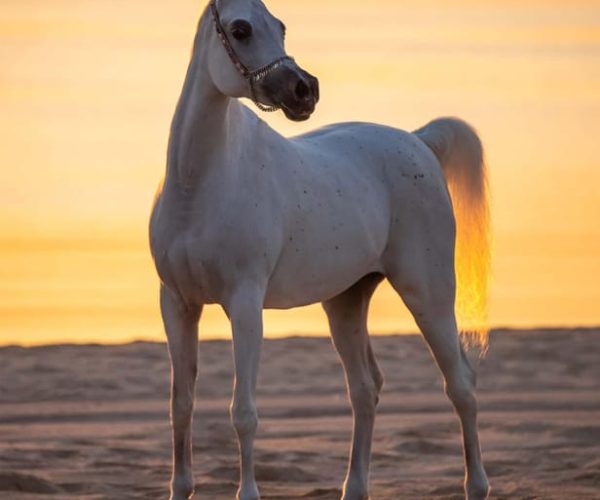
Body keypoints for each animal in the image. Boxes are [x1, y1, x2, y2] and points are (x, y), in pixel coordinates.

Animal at [150, 0, 492, 500]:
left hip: (428, 293)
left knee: (461, 385)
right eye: (240, 29)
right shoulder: (177, 304)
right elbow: (180, 406)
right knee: (365, 388)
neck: (201, 184)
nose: (303, 90)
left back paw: (477, 485)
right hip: (346, 301)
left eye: (280, 26)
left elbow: (243, 413)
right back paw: (355, 487)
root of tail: (419, 140)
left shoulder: (244, 304)